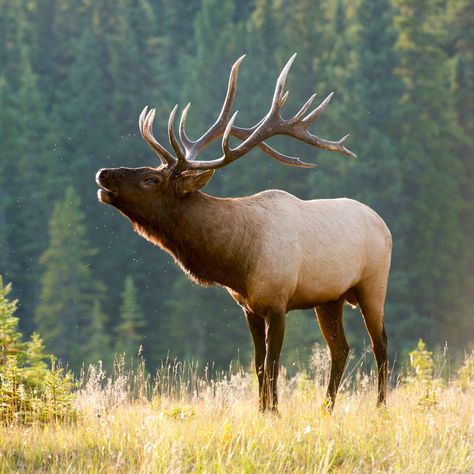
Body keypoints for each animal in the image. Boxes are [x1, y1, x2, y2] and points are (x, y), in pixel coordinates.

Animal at [94, 54, 390, 412]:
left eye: (152, 178)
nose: (103, 172)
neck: (237, 260)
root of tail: (383, 223)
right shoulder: (249, 308)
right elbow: (258, 364)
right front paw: (262, 410)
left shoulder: (277, 302)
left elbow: (274, 364)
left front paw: (274, 411)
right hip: (330, 298)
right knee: (341, 349)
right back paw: (326, 408)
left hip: (373, 285)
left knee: (380, 344)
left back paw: (380, 405)